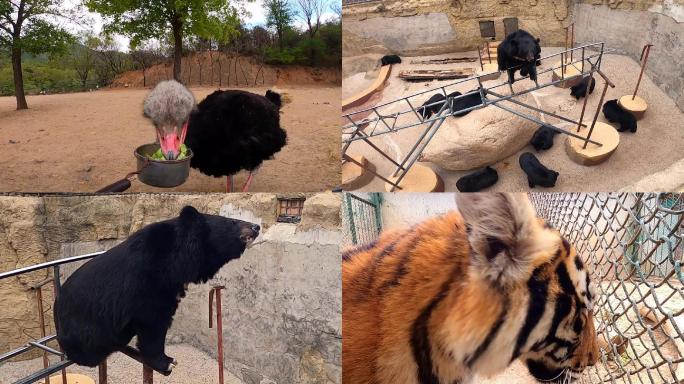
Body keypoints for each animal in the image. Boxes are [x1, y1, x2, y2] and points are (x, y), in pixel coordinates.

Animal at [53, 207, 260, 376]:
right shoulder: (148, 283)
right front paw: (167, 362)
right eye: (232, 222)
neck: (177, 259)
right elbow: (153, 323)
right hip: (91, 331)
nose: (256, 226)